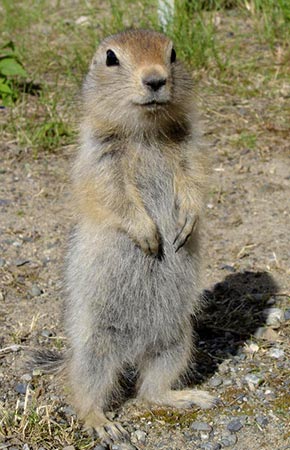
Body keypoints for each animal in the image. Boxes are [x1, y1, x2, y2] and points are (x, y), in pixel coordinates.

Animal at [34, 29, 215, 446]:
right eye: (111, 58)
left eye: (173, 53)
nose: (155, 79)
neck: (146, 131)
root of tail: (135, 350)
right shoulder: (99, 158)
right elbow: (112, 195)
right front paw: (150, 236)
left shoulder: (191, 148)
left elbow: (194, 180)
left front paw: (185, 224)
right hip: (94, 347)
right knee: (86, 389)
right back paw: (102, 423)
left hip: (177, 340)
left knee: (150, 390)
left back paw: (190, 397)